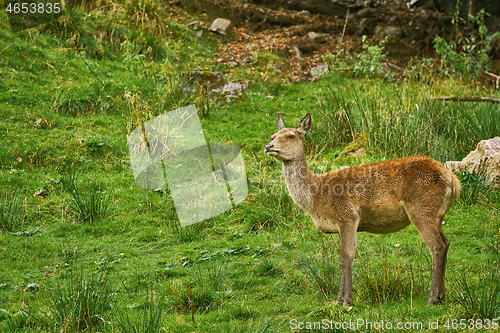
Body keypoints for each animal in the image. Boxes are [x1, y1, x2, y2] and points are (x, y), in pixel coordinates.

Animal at [266, 112, 460, 306]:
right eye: (273, 136)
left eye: (291, 135)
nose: (268, 146)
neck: (316, 198)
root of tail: (452, 179)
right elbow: (344, 257)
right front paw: (339, 300)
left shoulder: (347, 216)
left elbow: (347, 257)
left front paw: (345, 301)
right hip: (437, 214)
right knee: (446, 243)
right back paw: (441, 296)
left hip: (421, 208)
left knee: (436, 246)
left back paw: (432, 298)